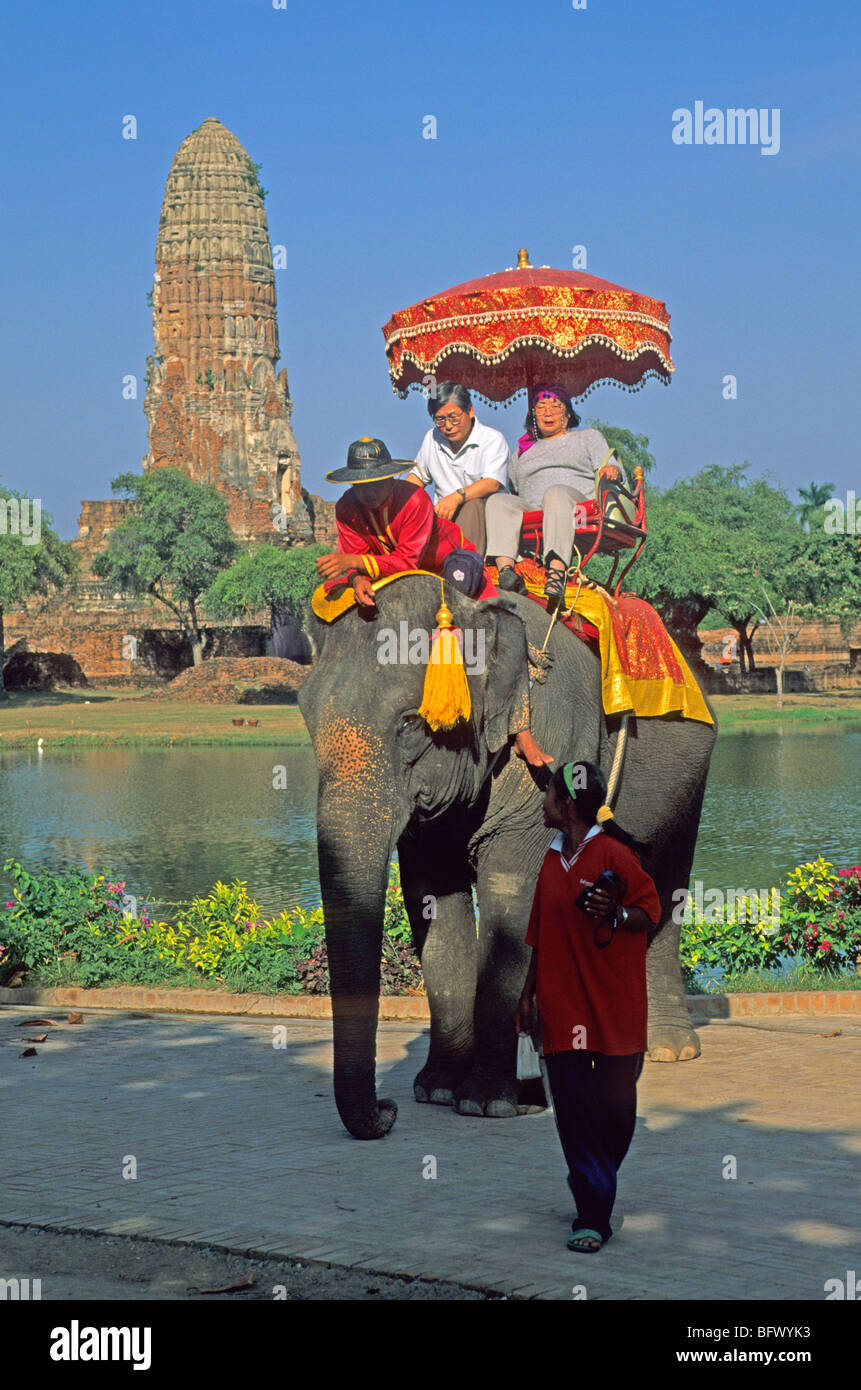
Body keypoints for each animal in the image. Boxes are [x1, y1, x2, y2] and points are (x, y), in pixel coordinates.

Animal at [298, 574, 716, 1140]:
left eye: (410, 724)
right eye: (305, 715)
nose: (386, 1112)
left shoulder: (550, 743)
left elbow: (509, 891)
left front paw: (486, 1103)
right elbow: (435, 905)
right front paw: (438, 1091)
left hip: (689, 782)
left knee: (664, 887)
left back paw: (668, 1049)